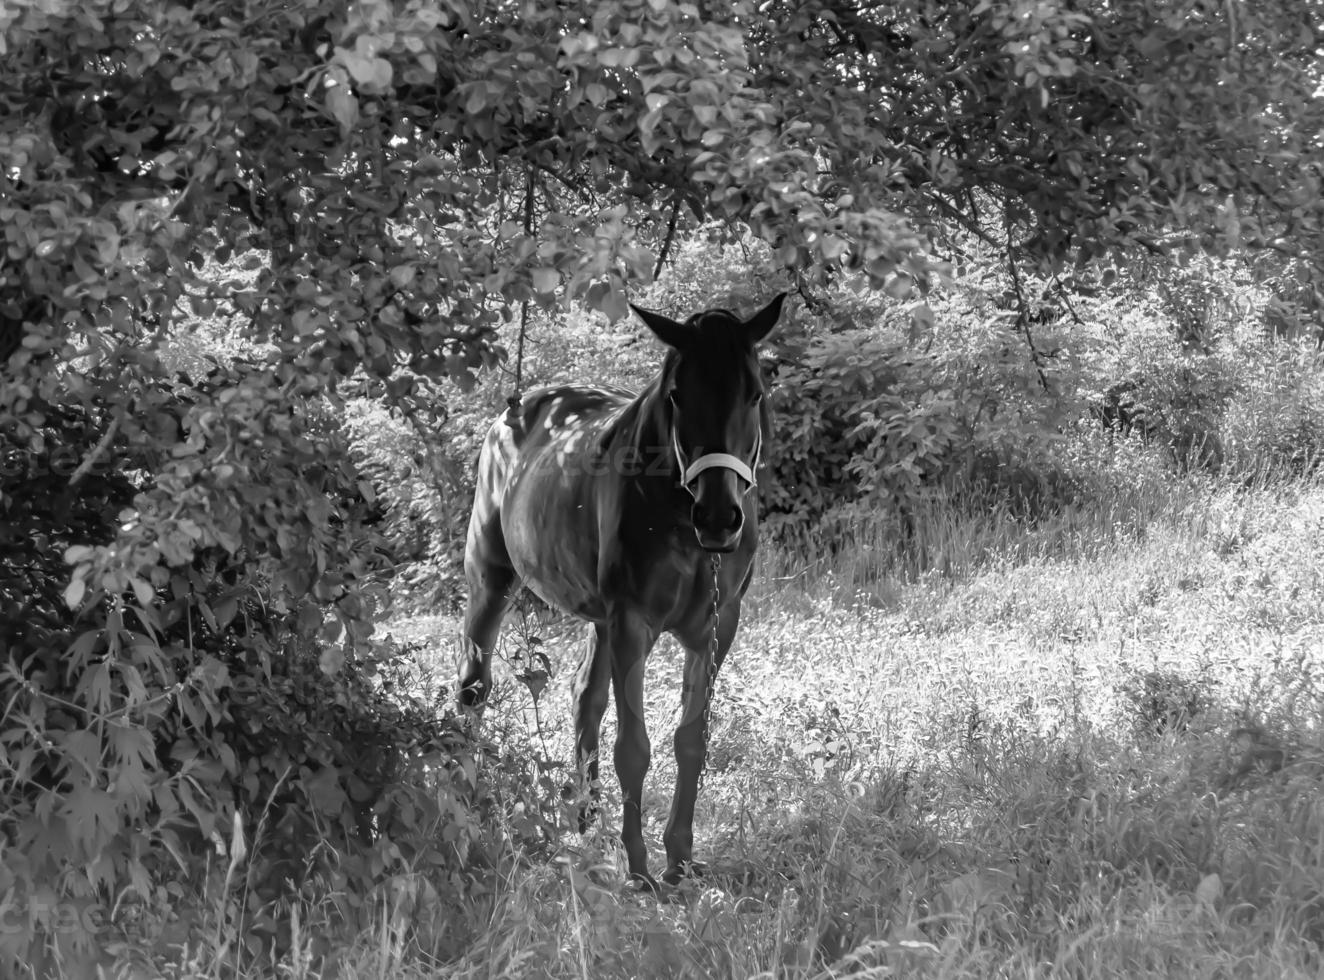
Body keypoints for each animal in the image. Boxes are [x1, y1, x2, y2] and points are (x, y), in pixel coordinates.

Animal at [460, 292, 778, 889]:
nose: (719, 517)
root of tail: (514, 409)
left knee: (585, 696)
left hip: (600, 617)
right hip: (492, 577)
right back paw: (472, 793)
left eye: (754, 392)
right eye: (678, 394)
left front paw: (680, 858)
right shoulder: (633, 620)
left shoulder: (718, 625)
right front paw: (638, 867)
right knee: (474, 686)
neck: (676, 511)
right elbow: (633, 747)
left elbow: (691, 740)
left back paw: (586, 816)